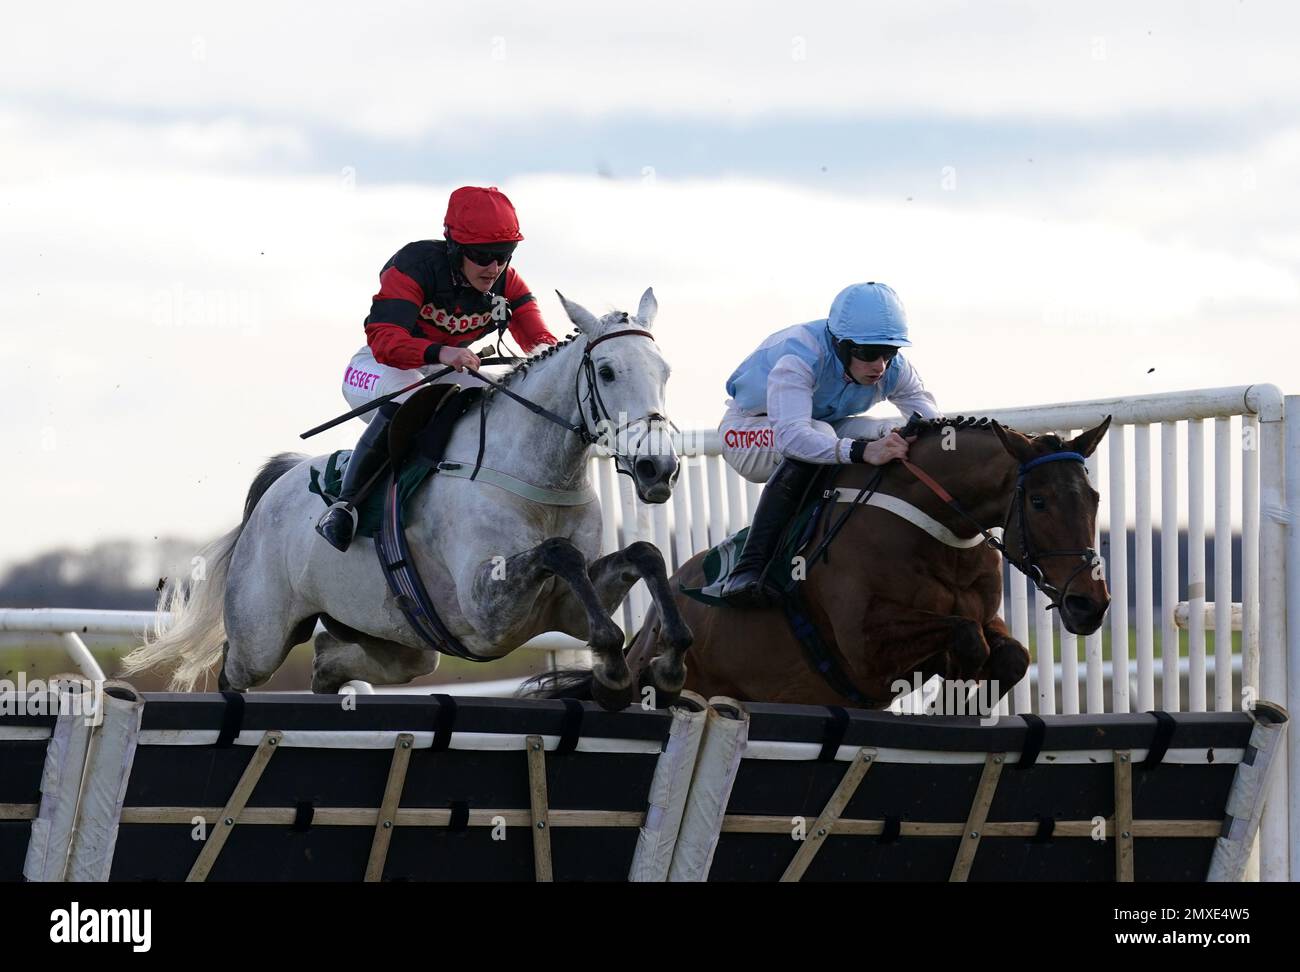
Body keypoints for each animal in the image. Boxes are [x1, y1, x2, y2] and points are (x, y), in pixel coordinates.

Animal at [120, 287, 691, 706]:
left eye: (665, 372)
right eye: (607, 371)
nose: (657, 468)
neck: (541, 477)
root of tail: (276, 484)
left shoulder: (564, 610)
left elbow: (644, 553)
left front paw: (668, 660)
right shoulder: (489, 609)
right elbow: (560, 552)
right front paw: (616, 671)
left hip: (401, 640)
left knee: (328, 660)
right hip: (260, 636)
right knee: (236, 672)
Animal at [533, 413, 1112, 712]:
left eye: (1095, 497)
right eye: (1039, 501)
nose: (1090, 605)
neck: (933, 530)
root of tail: (652, 624)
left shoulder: (983, 615)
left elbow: (1009, 654)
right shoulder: (865, 650)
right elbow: (966, 640)